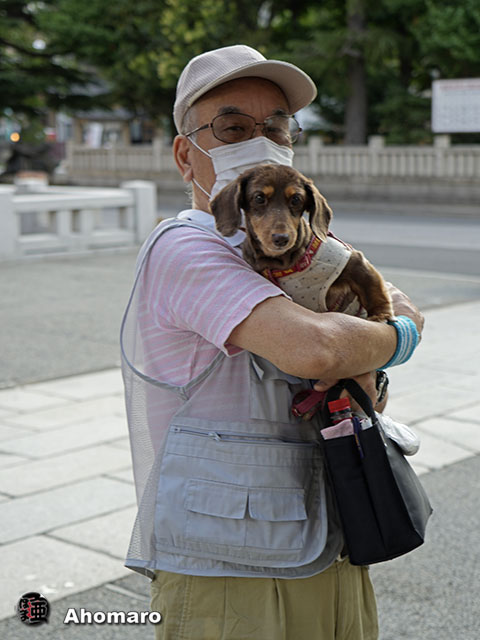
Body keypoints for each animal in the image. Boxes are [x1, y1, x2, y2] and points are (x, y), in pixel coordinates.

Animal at [210, 164, 393, 322]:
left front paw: (381, 315)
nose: (281, 238)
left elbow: (374, 290)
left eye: (296, 199)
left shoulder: (354, 261)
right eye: (259, 198)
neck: (288, 263)